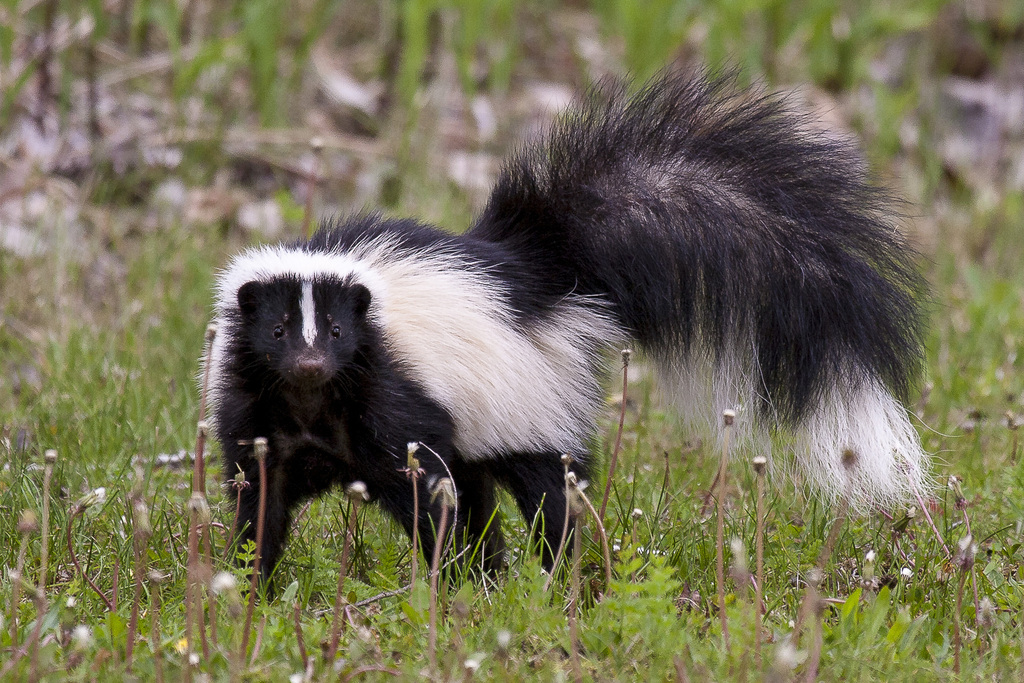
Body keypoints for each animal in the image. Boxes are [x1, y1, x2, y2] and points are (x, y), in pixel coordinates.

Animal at [205, 72, 929, 581]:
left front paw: (446, 583)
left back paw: (558, 577)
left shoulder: (394, 397)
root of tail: (537, 270)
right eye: (277, 332)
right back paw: (503, 577)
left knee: (549, 496)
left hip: (528, 401)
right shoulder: (256, 414)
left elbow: (430, 497)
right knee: (483, 491)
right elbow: (261, 503)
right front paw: (252, 589)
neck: (313, 405)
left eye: (334, 333)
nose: (309, 363)